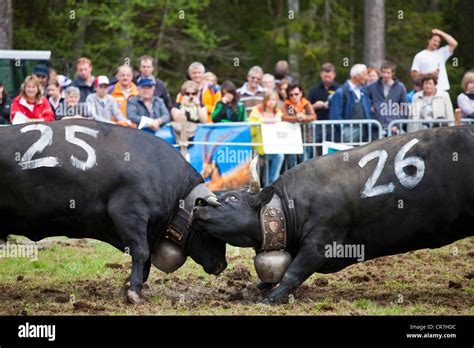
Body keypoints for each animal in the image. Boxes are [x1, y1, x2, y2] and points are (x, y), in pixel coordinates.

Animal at [0, 120, 228, 304]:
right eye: (209, 230)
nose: (222, 265)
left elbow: (145, 258)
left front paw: (129, 286)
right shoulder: (129, 214)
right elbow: (141, 251)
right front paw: (134, 291)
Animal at [193, 126, 474, 304]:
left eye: (232, 198)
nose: (198, 206)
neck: (290, 206)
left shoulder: (319, 244)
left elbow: (292, 273)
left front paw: (269, 299)